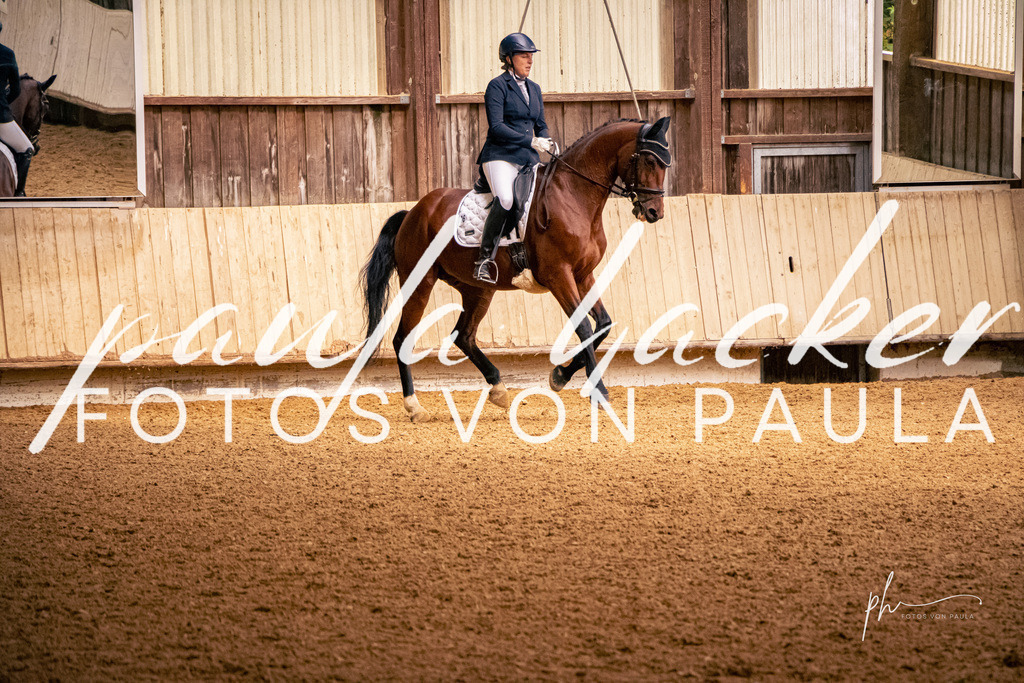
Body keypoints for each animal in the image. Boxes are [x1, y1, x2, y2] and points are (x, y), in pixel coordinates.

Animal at [360, 117, 672, 422]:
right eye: (649, 160)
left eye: (666, 164)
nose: (655, 213)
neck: (573, 195)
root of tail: (413, 212)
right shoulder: (559, 276)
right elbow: (584, 327)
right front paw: (599, 392)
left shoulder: (583, 276)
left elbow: (603, 325)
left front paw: (560, 376)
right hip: (419, 282)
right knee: (403, 339)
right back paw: (414, 407)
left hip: (477, 289)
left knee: (463, 335)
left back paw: (498, 389)